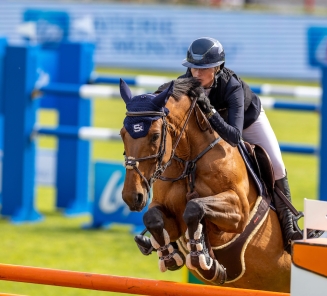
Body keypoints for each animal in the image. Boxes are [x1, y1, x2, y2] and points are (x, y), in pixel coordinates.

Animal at [120, 76, 292, 292]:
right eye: (122, 134)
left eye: (155, 136)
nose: (132, 197)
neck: (189, 160)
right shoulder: (168, 215)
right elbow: (153, 218)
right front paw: (169, 256)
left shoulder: (239, 213)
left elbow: (195, 207)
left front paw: (203, 258)